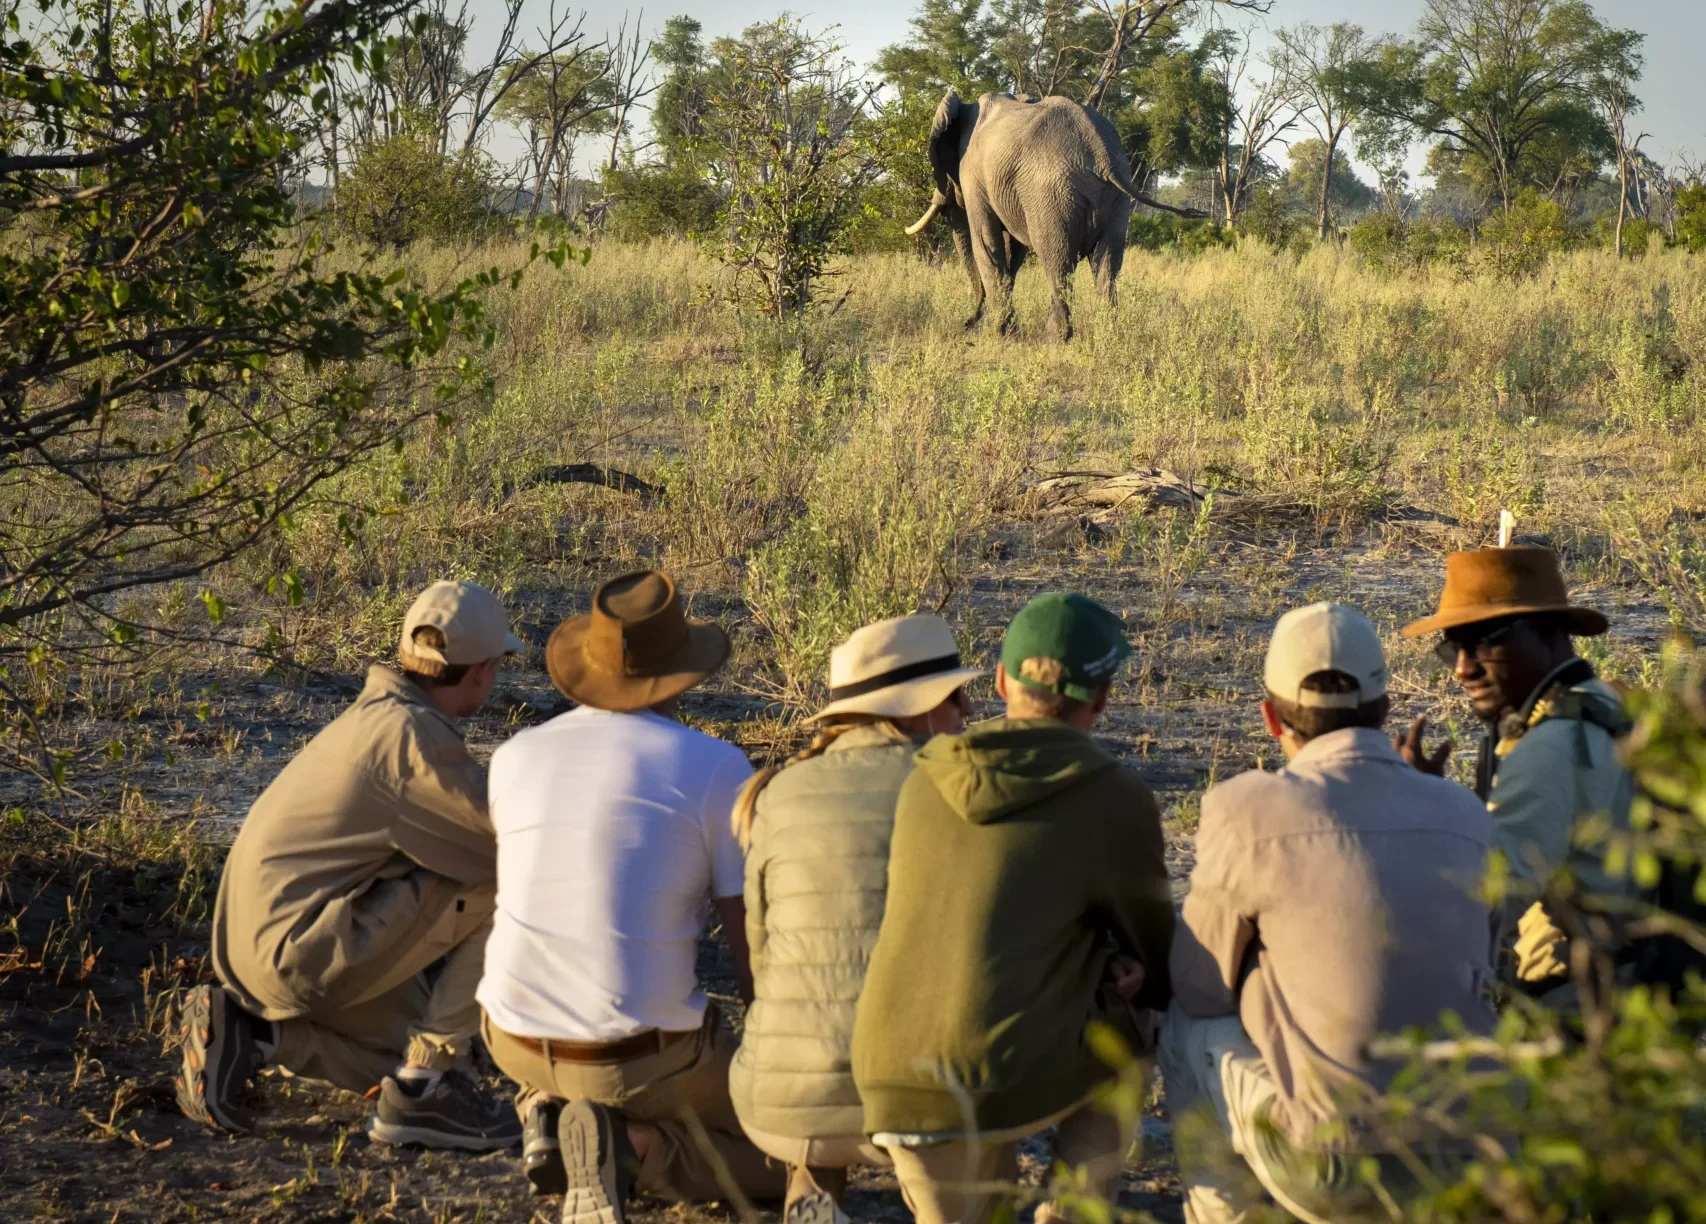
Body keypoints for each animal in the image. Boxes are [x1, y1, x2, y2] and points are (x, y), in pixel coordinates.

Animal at [907, 88, 1132, 339]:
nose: (967, 323)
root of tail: (1101, 152)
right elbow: (1013, 250)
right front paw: (1009, 329)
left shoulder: (973, 175)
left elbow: (985, 242)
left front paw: (997, 332)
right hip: (1115, 201)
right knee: (1108, 264)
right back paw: (1107, 335)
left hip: (1052, 194)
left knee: (1057, 261)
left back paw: (1053, 338)